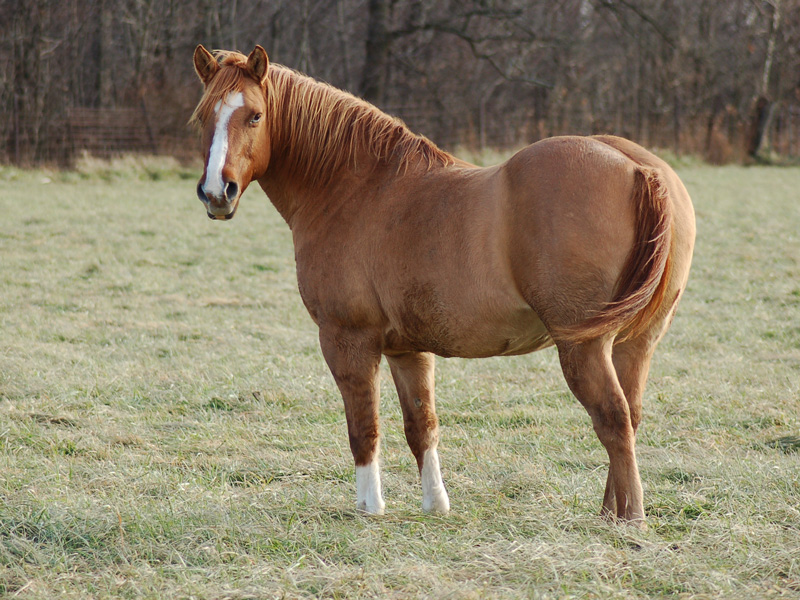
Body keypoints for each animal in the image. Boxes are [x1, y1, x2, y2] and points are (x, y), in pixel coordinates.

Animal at [192, 44, 692, 524]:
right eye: (202, 117)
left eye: (255, 115)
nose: (217, 193)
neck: (357, 188)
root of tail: (638, 168)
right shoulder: (407, 349)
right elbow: (422, 425)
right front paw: (436, 505)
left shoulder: (346, 339)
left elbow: (363, 427)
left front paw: (369, 507)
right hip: (635, 343)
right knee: (630, 416)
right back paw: (611, 513)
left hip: (584, 347)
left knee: (612, 418)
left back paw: (630, 520)